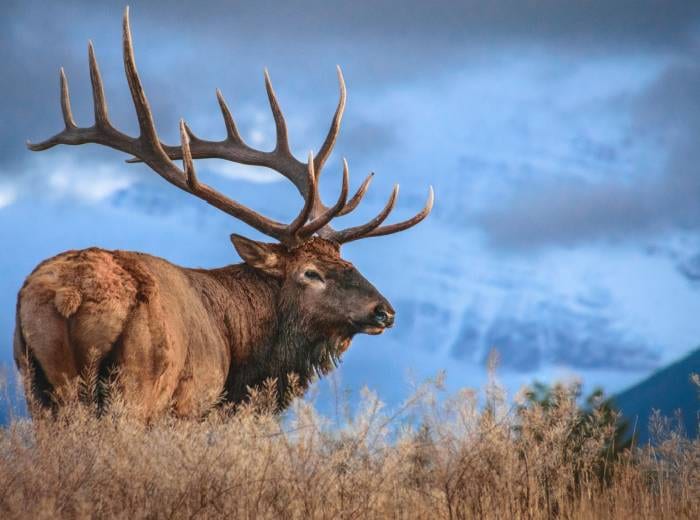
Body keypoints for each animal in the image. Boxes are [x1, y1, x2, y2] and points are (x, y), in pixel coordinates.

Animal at [13, 7, 433, 419]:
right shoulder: (191, 404)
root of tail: (70, 295)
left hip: (35, 385)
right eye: (310, 273)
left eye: (349, 264)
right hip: (137, 386)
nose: (384, 312)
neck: (241, 358)